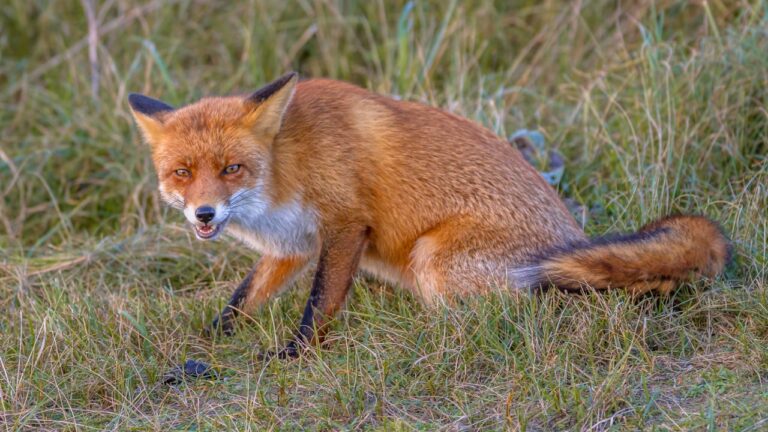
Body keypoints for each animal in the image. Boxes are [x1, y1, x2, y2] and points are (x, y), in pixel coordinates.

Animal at [129, 72, 730, 357]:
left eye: (231, 168)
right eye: (182, 173)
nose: (204, 213)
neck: (285, 166)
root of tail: (572, 238)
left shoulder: (346, 224)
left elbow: (319, 304)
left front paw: (294, 355)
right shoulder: (291, 246)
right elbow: (241, 301)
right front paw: (208, 342)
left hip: (434, 258)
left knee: (532, 311)